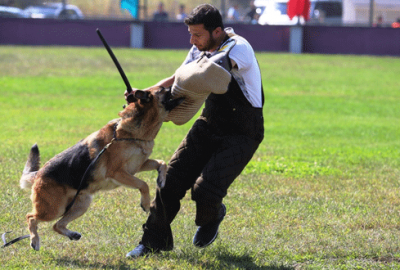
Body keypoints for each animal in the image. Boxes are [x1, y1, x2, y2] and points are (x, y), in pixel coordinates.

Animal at [19, 86, 184, 251]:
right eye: (163, 89)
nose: (176, 86)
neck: (132, 133)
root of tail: (38, 174)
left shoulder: (137, 166)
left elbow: (161, 163)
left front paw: (161, 179)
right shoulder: (118, 172)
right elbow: (143, 184)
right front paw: (145, 203)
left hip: (81, 204)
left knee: (56, 225)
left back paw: (72, 235)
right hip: (54, 209)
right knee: (31, 217)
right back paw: (34, 240)